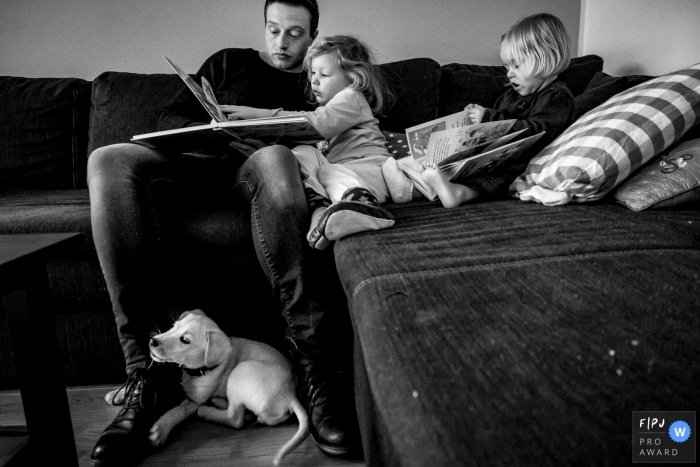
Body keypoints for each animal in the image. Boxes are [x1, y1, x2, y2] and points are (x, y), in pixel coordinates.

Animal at [148, 308, 306, 466]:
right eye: (174, 326)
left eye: (185, 340)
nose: (152, 341)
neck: (203, 369)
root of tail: (290, 395)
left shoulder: (195, 401)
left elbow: (179, 410)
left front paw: (161, 429)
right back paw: (220, 402)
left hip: (240, 371)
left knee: (235, 418)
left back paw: (207, 410)